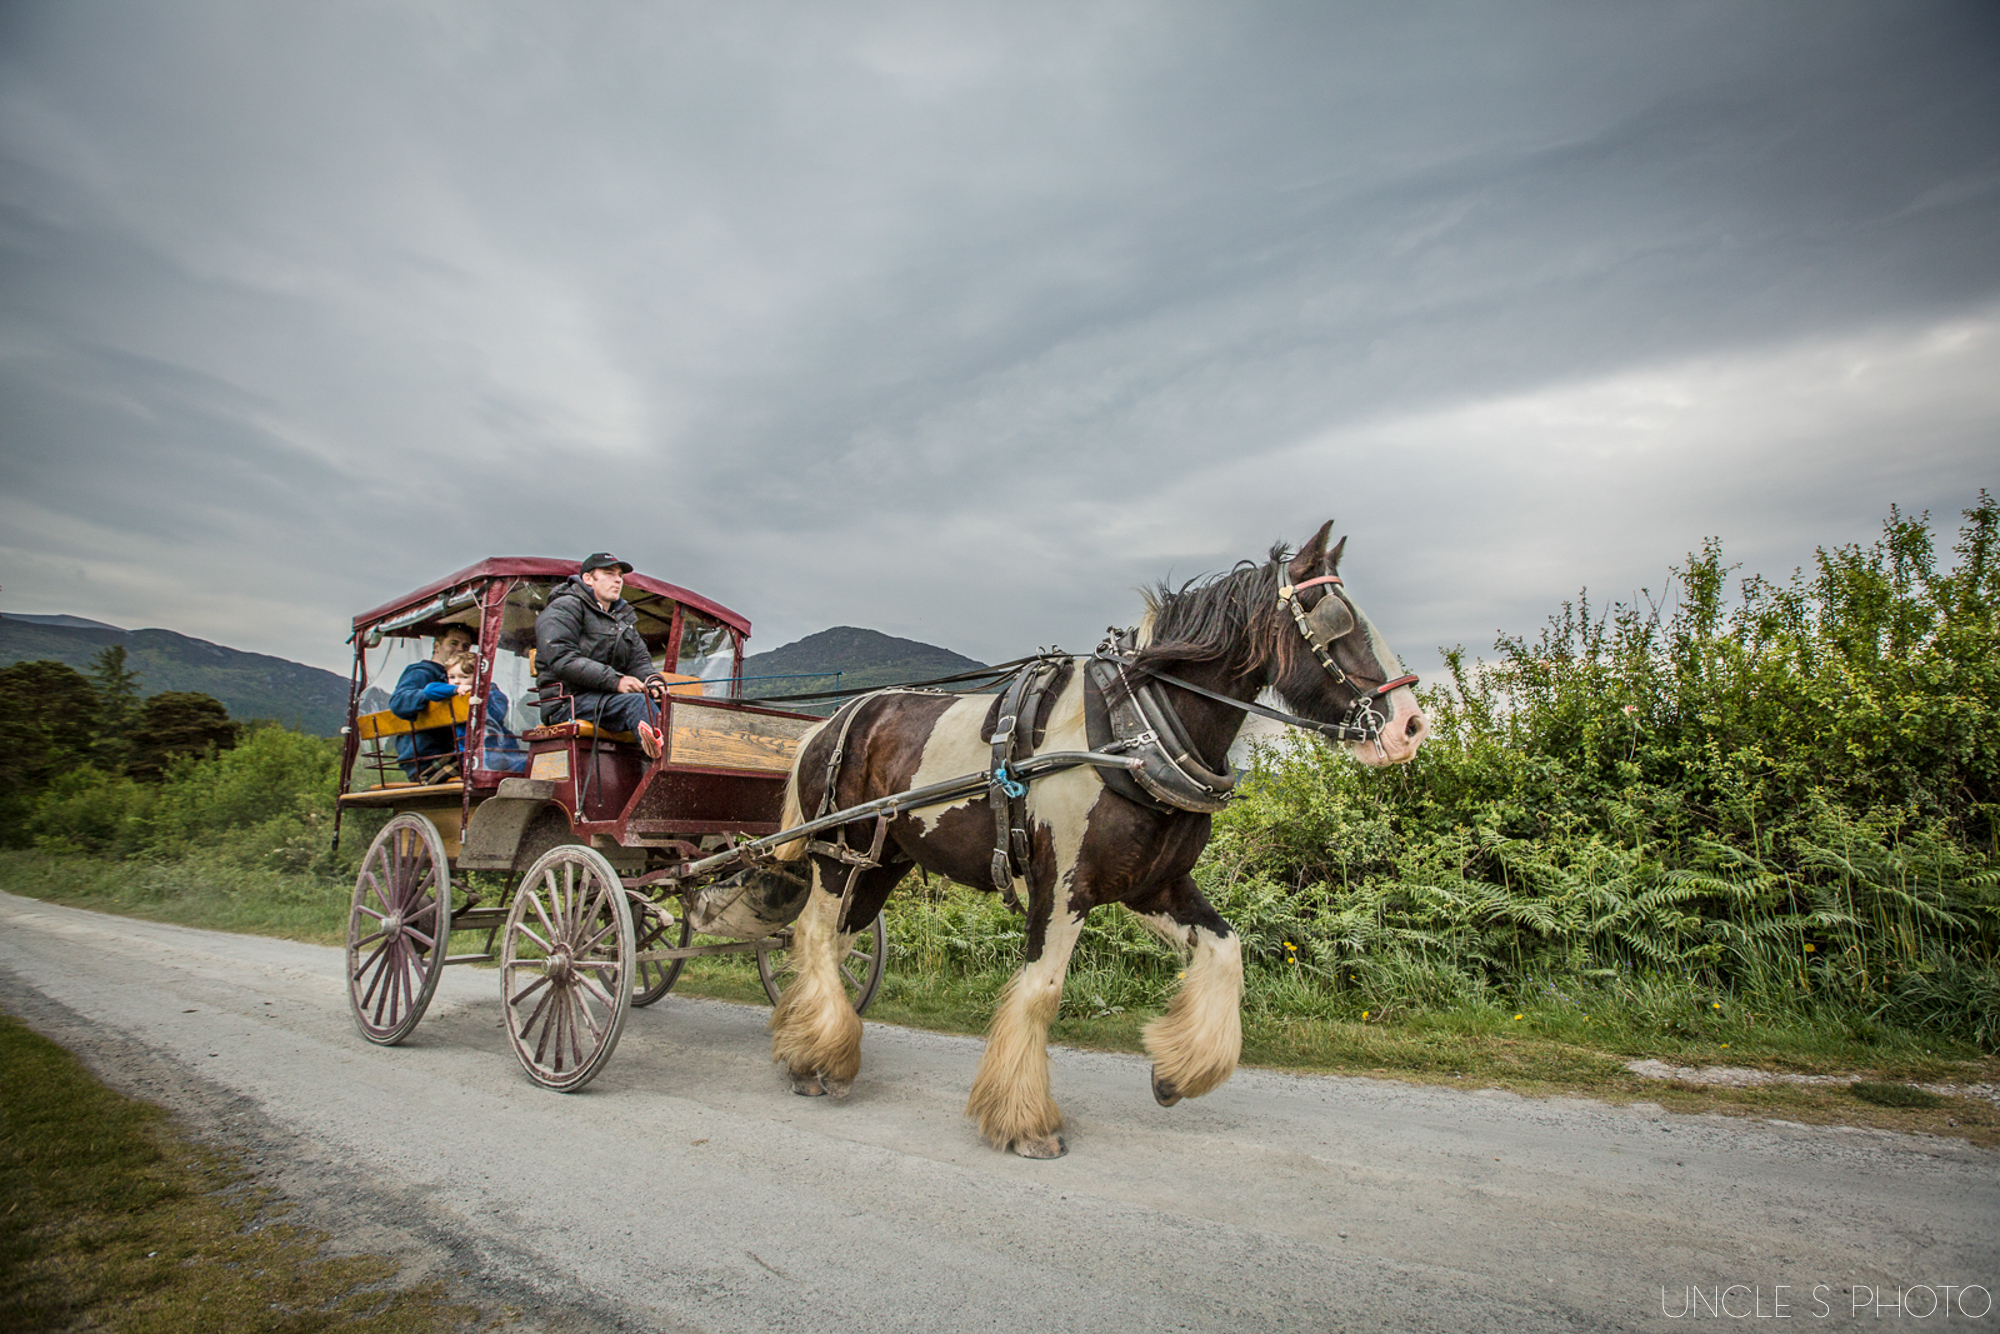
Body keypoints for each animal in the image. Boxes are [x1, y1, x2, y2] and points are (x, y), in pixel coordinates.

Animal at [764, 520, 1424, 1160]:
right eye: (1335, 618)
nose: (1411, 726)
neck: (1133, 731)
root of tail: (828, 723)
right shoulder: (1062, 887)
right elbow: (1042, 991)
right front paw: (1023, 1122)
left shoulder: (1154, 884)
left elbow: (1226, 949)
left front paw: (1178, 1073)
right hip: (836, 853)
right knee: (815, 933)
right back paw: (814, 1056)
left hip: (882, 860)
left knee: (839, 941)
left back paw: (810, 1045)